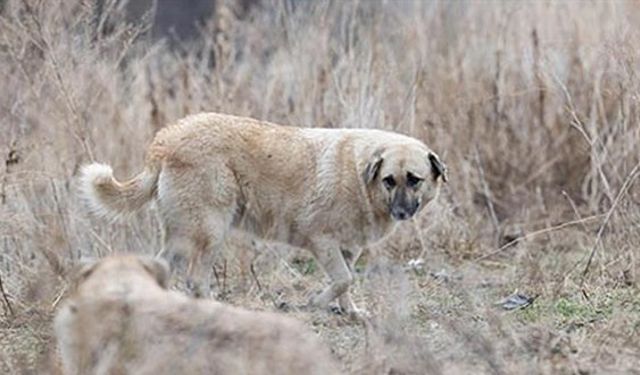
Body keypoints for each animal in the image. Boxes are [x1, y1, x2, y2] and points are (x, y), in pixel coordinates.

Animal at [80, 114, 448, 318]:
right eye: (390, 180)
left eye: (414, 179)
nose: (402, 212)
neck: (361, 176)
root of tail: (165, 139)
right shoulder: (323, 242)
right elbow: (344, 279)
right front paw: (315, 302)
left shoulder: (347, 249)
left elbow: (345, 284)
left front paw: (351, 312)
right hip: (211, 230)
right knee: (196, 279)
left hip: (184, 235)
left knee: (165, 267)